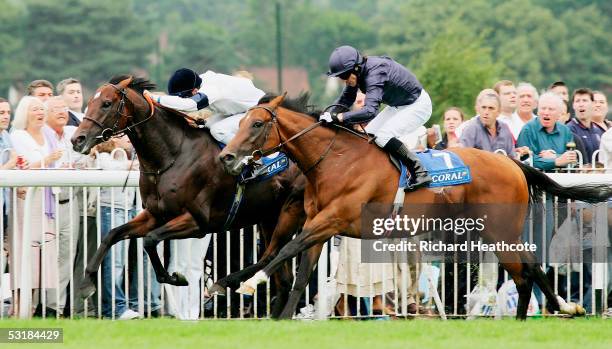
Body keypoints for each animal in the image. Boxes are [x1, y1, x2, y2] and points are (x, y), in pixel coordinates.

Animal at [71, 76, 306, 316]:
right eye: (90, 102)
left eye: (106, 103)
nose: (77, 139)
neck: (170, 157)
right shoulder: (155, 215)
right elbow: (112, 234)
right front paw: (86, 283)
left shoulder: (198, 222)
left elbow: (150, 240)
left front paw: (174, 277)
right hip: (269, 218)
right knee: (281, 274)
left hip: (291, 212)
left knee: (276, 256)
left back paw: (225, 284)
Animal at [216, 94, 612, 320]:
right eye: (239, 121)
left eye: (256, 123)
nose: (226, 157)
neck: (335, 161)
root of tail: (513, 162)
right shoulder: (319, 225)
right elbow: (298, 271)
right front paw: (278, 314)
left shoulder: (331, 220)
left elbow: (287, 250)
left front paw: (248, 283)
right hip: (495, 231)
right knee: (528, 268)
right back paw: (559, 309)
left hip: (499, 230)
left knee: (524, 271)